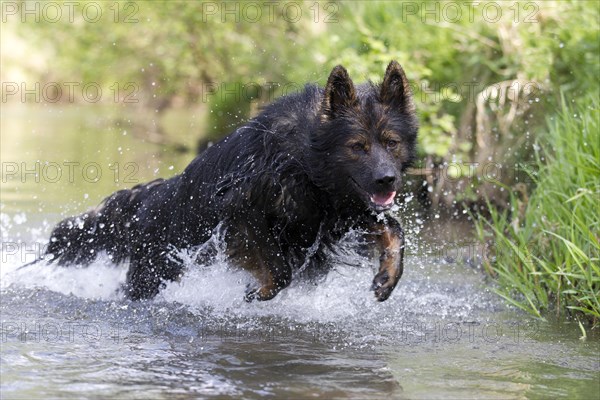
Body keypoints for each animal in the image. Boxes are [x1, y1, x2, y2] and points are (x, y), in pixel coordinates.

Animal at [43, 61, 418, 302]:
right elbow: (279, 266)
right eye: (357, 147)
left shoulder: (339, 213)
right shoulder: (240, 207)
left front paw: (388, 275)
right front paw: (261, 290)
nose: (387, 180)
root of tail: (150, 199)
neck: (306, 160)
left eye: (391, 143)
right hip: (152, 274)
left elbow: (394, 229)